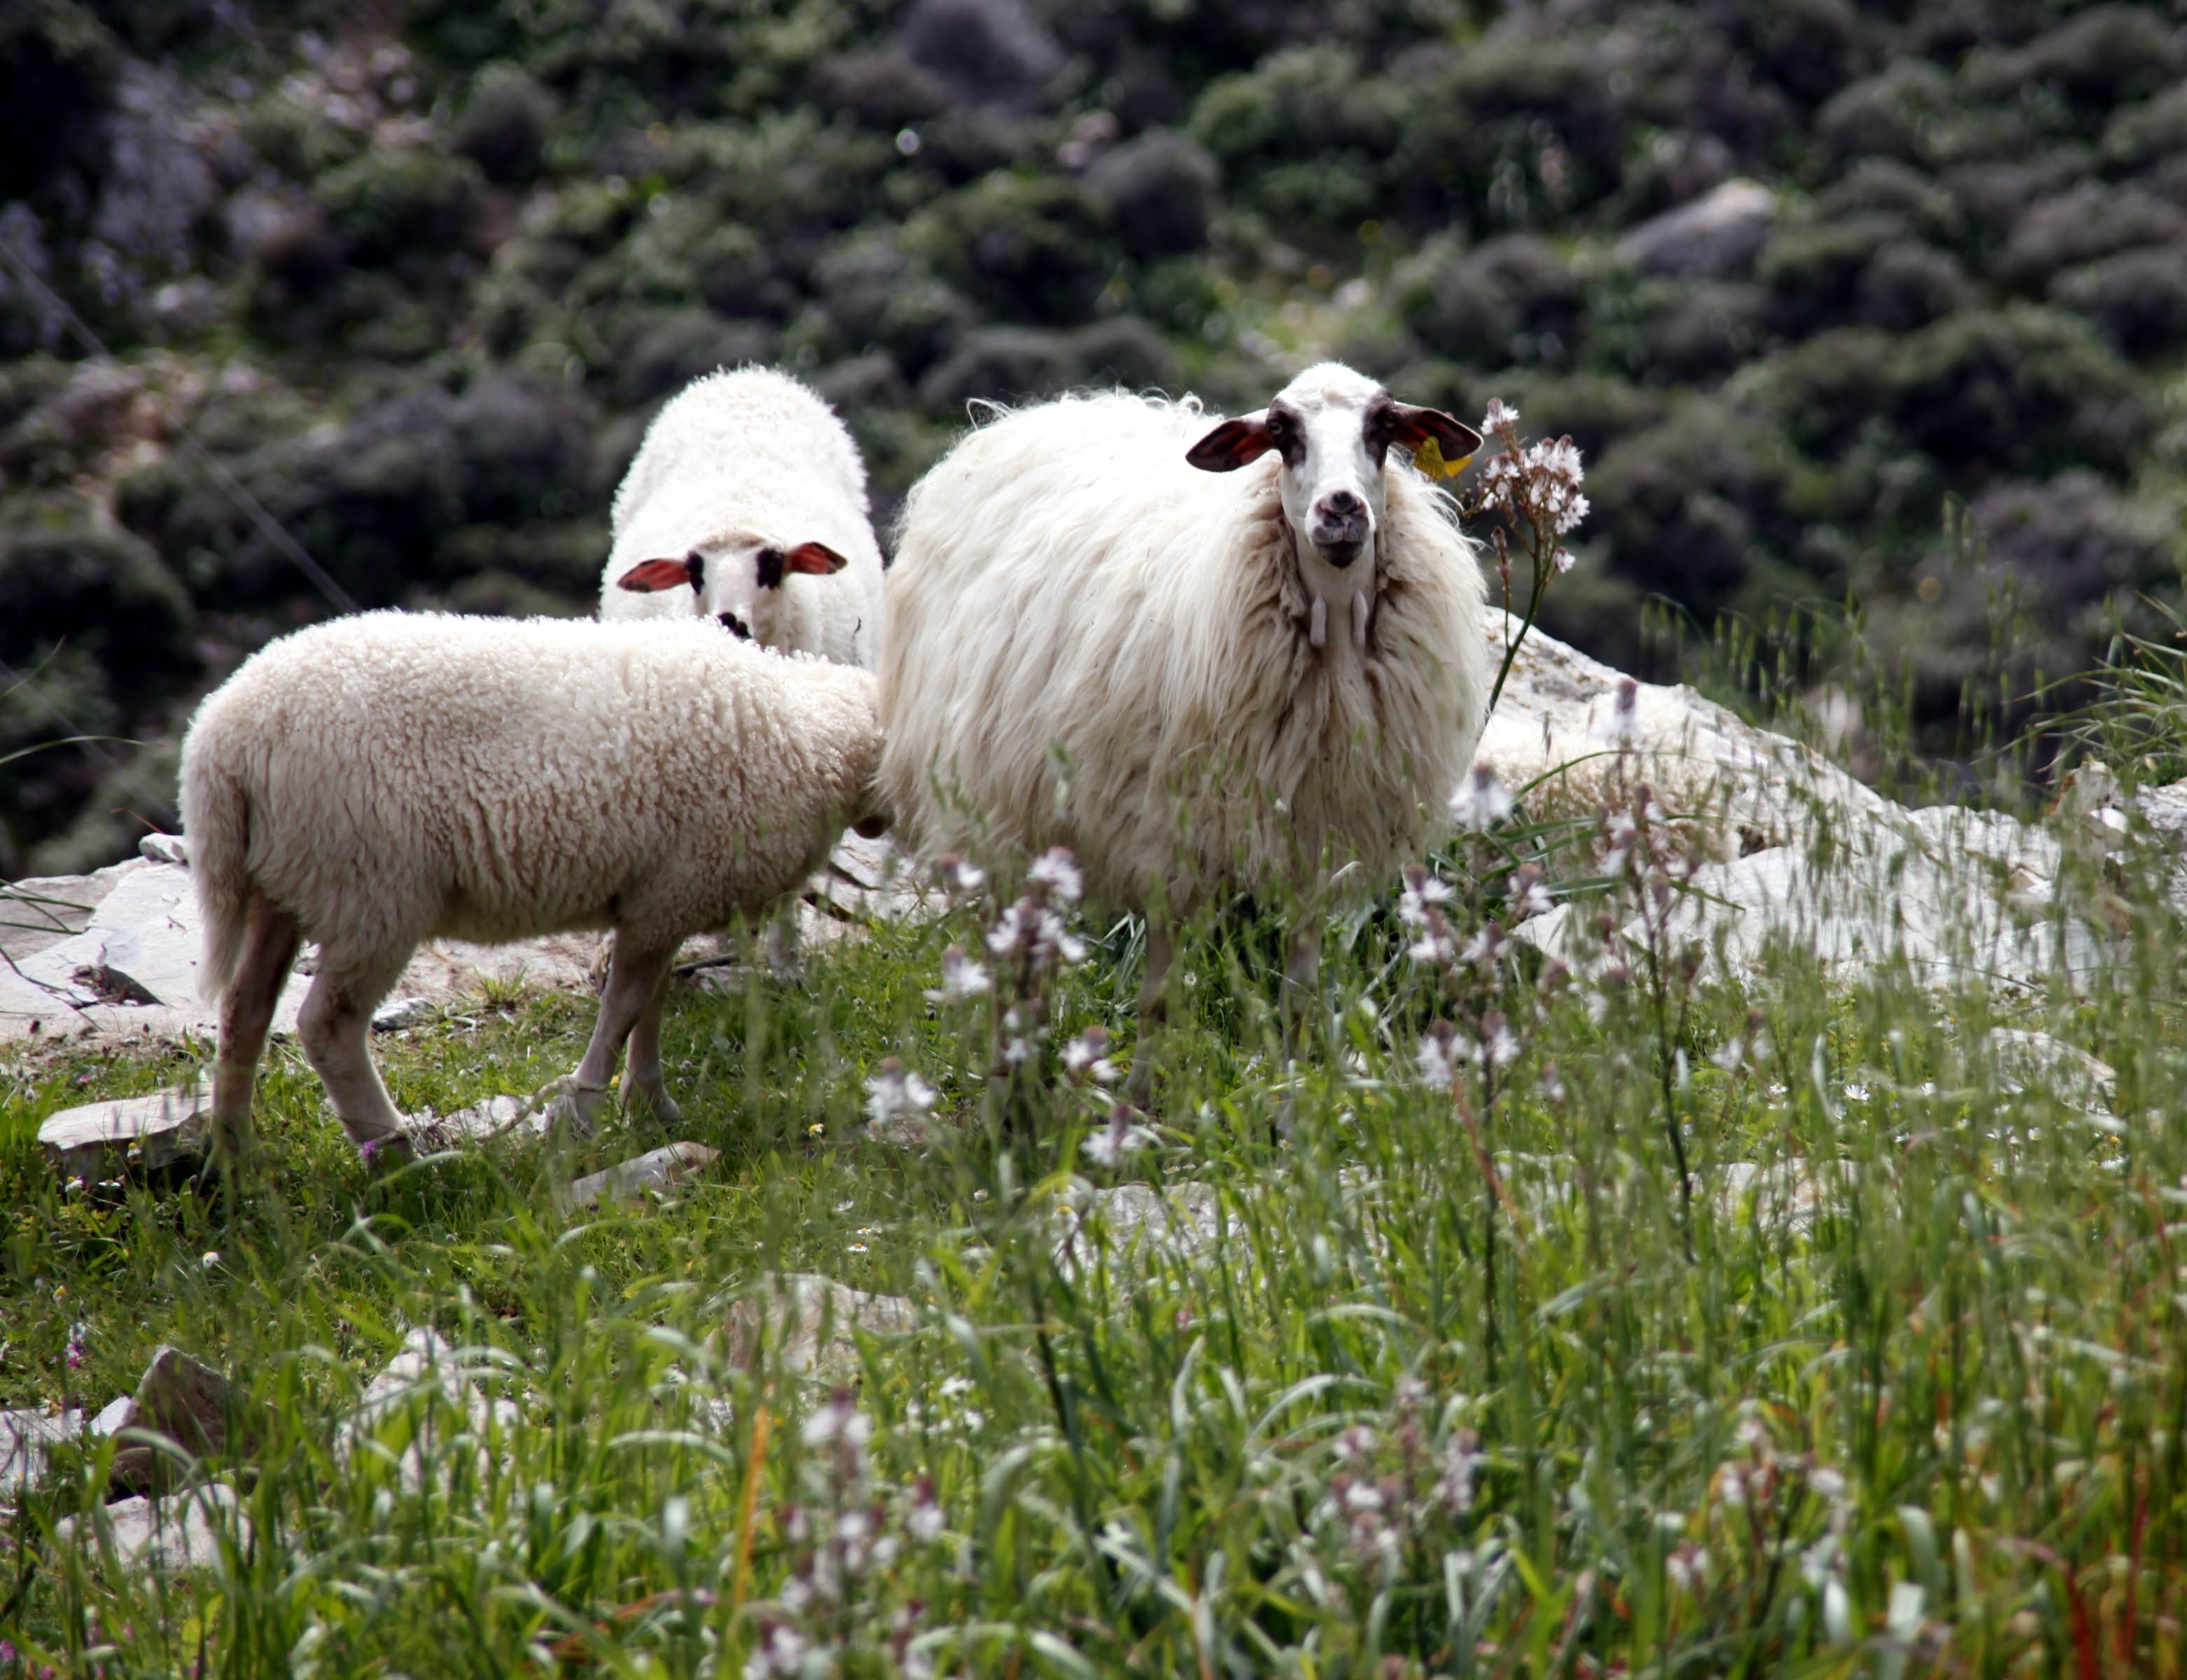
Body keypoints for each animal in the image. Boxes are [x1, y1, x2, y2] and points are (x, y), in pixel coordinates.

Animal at [181, 612, 879, 1163]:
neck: (809, 732)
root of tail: (222, 741)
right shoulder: (670, 895)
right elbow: (626, 1005)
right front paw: (587, 1113)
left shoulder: (662, 897)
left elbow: (649, 1006)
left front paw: (649, 1103)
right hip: (371, 889)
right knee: (328, 1026)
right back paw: (395, 1153)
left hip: (288, 886)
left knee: (245, 1011)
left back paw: (236, 1158)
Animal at [879, 360, 1495, 1111]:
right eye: (1282, 431)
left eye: (1383, 426)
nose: (1342, 510)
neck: (1333, 637)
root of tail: (1040, 412)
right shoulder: (1169, 838)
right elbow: (1160, 999)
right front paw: (1140, 1109)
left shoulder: (1314, 840)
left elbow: (1298, 998)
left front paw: (1292, 1112)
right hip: (991, 809)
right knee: (1006, 968)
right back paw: (1006, 1093)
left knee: (1033, 963)